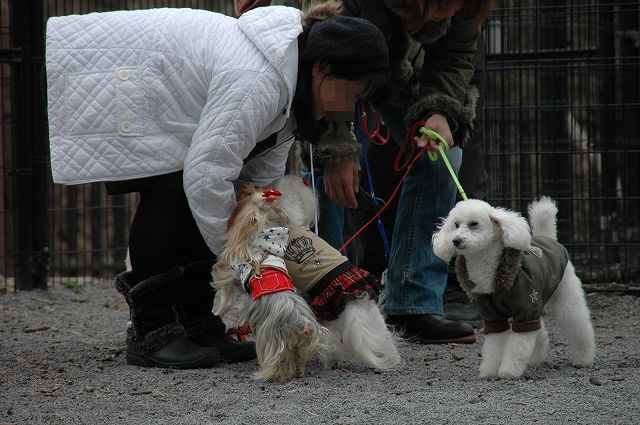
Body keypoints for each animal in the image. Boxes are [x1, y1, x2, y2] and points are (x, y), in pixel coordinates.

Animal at [430, 195, 596, 378]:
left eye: (474, 224)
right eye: (456, 225)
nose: (455, 240)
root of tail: (550, 238)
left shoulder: (526, 308)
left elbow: (518, 346)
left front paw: (509, 371)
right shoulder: (494, 316)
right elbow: (493, 347)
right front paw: (489, 371)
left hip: (565, 294)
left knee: (578, 324)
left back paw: (583, 359)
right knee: (540, 332)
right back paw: (535, 359)